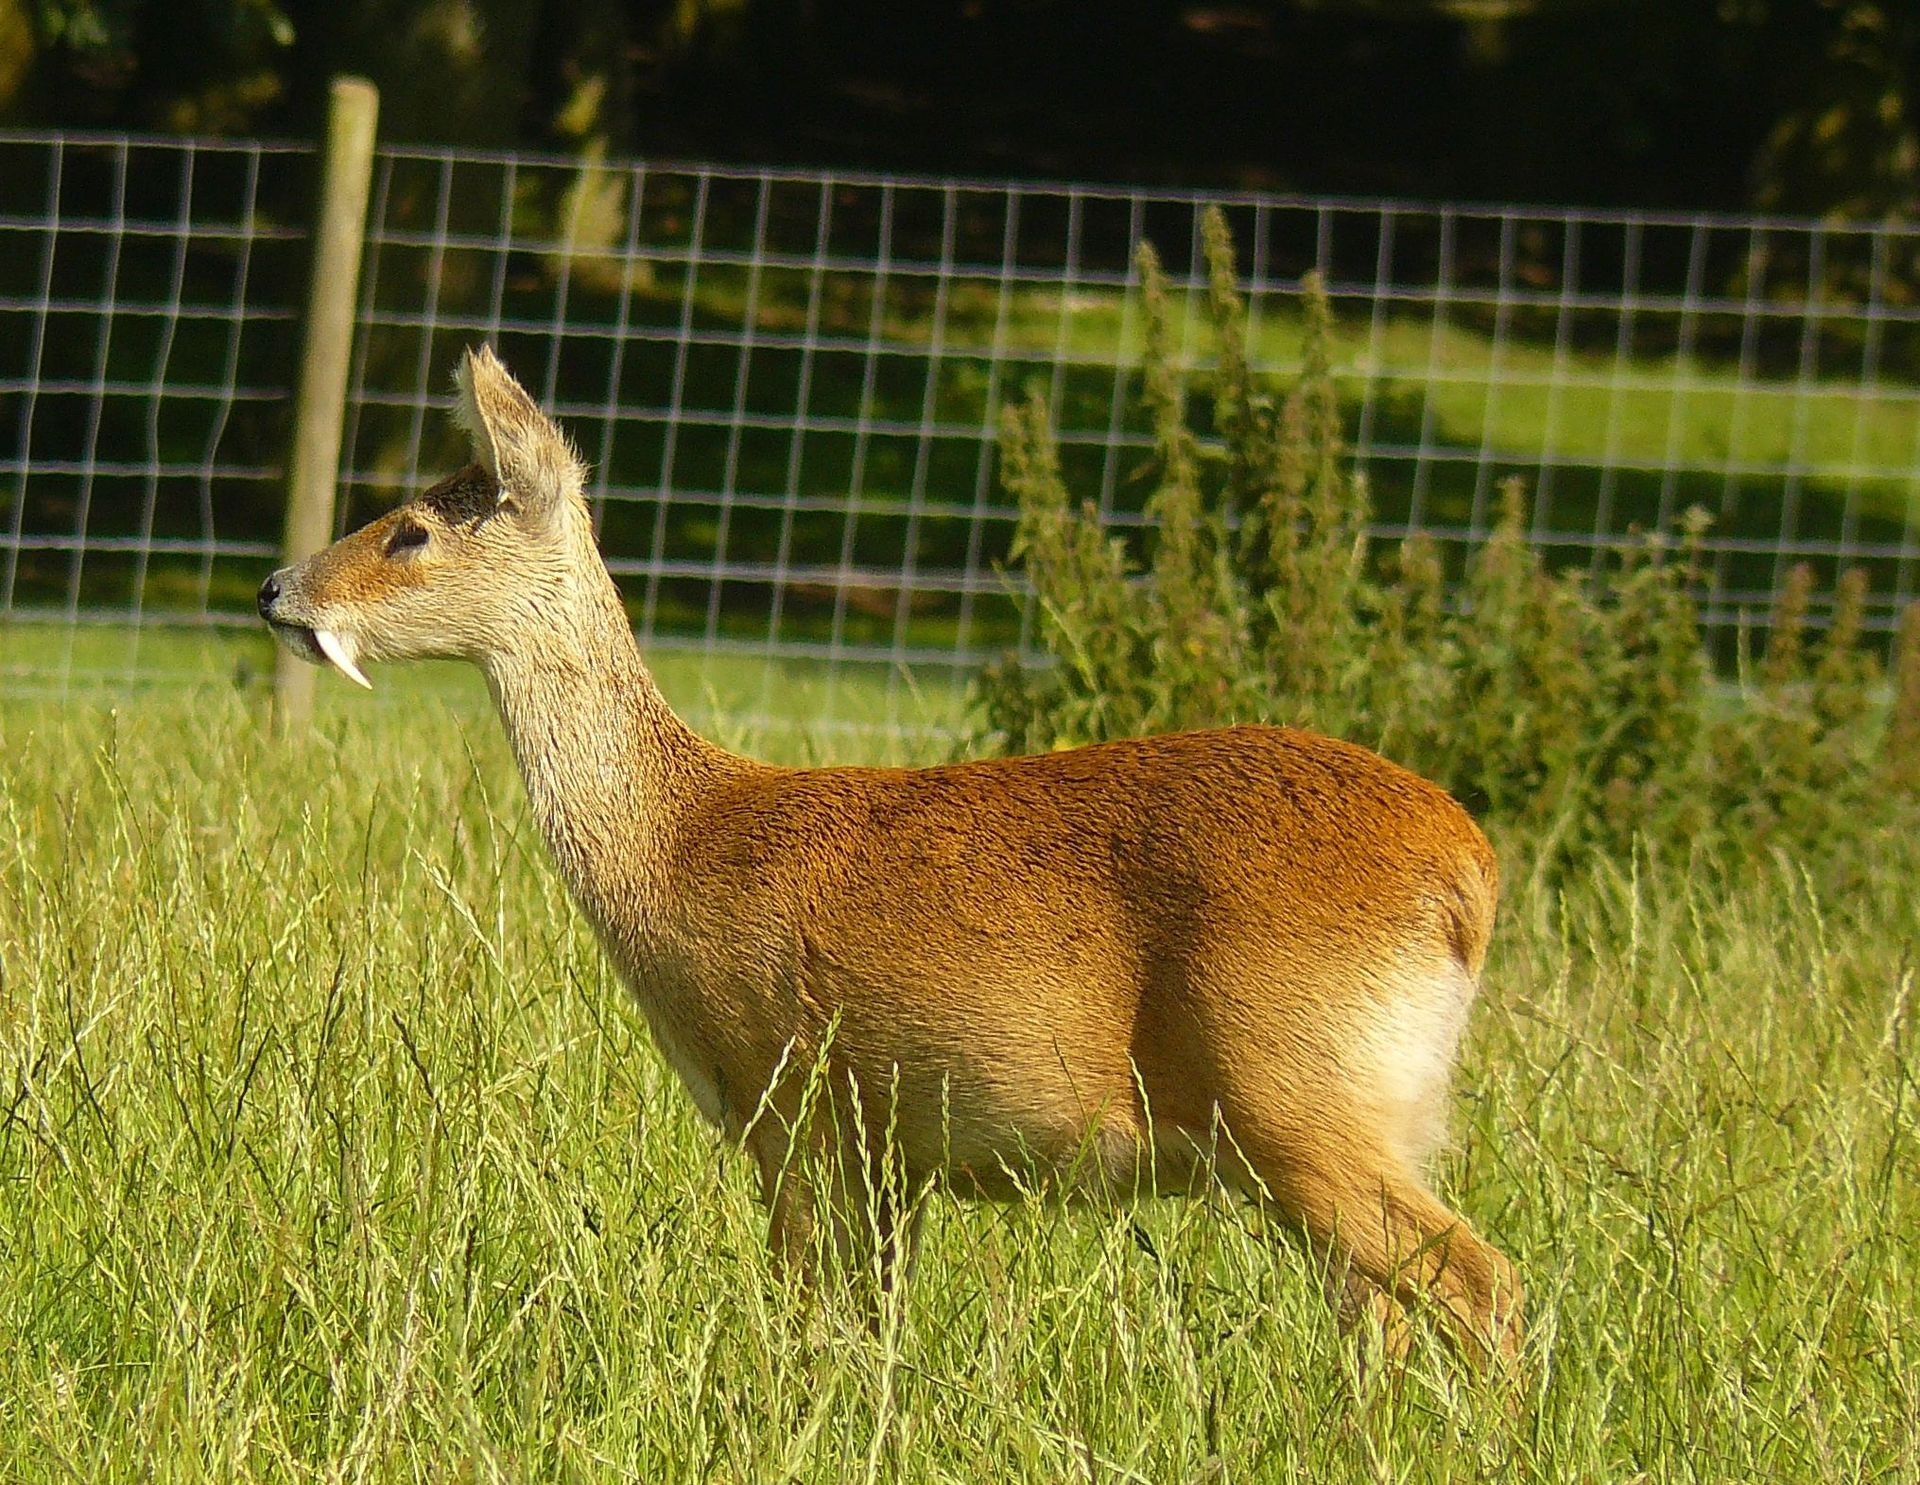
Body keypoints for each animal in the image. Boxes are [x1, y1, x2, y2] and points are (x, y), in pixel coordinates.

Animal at [255, 341, 1520, 1375]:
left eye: (412, 530)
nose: (275, 588)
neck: (679, 843)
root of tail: (1467, 874)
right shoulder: (888, 1150)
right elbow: (877, 1326)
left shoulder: (789, 1100)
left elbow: (801, 1318)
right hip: (1356, 1117)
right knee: (1383, 1315)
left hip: (1292, 1091)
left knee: (1483, 1285)